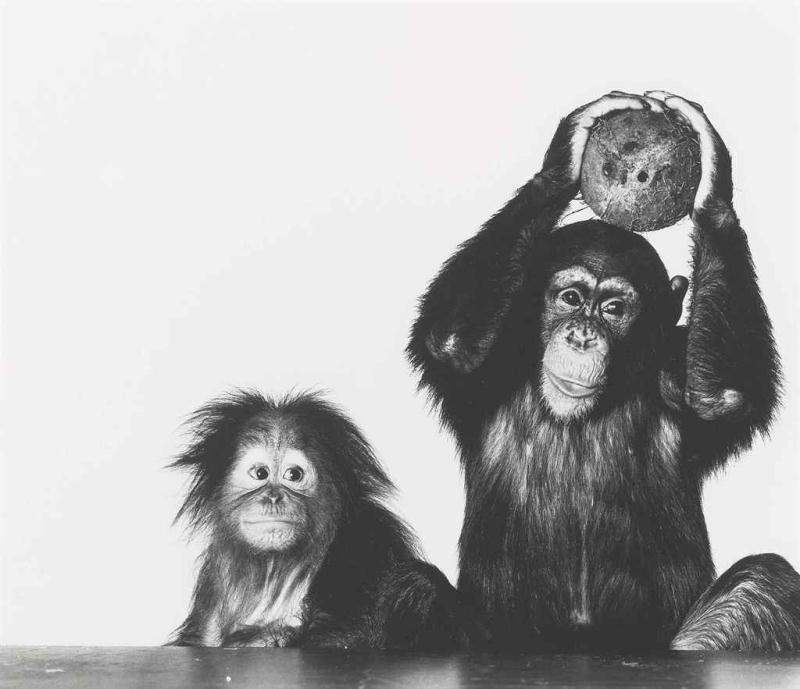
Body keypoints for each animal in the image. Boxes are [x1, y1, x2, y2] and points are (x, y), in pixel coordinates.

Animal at [167, 389, 479, 650]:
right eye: (260, 474)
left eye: (293, 475)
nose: (273, 497)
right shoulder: (214, 572)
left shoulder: (365, 539)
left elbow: (347, 637)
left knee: (419, 586)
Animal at [407, 90, 800, 651]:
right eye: (571, 298)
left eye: (613, 308)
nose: (582, 335)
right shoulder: (487, 365)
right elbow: (452, 343)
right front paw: (564, 158)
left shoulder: (677, 371)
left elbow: (720, 396)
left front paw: (712, 183)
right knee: (409, 586)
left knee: (761, 585)